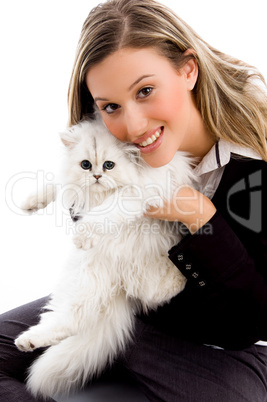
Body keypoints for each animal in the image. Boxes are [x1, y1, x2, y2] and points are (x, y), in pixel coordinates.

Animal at [15, 113, 197, 398]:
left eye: (109, 165)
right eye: (86, 165)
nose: (98, 176)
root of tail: (121, 286)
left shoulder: (138, 192)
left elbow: (106, 212)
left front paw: (84, 233)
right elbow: (57, 182)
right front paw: (30, 203)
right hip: (86, 276)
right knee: (71, 320)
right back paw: (28, 341)